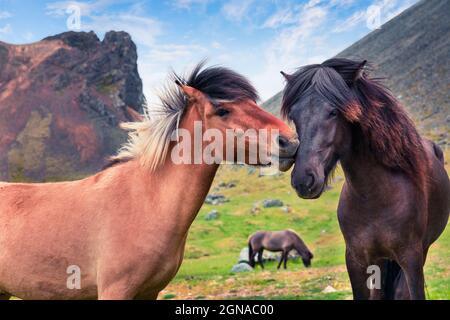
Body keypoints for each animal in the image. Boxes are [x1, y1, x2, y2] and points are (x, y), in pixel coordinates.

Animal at [282, 58, 450, 300]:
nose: (304, 179)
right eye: (294, 116)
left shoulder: (412, 259)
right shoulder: (355, 260)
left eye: (334, 111)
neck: (375, 196)